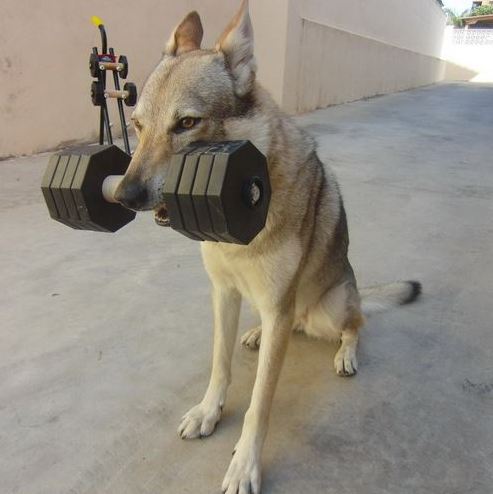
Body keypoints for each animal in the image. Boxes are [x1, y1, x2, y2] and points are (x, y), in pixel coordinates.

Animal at [113, 1, 420, 492]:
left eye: (186, 123)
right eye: (138, 125)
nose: (123, 196)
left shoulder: (277, 303)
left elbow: (259, 404)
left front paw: (244, 465)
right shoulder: (223, 293)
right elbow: (219, 365)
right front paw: (208, 412)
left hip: (330, 308)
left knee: (357, 324)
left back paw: (345, 353)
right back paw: (258, 333)